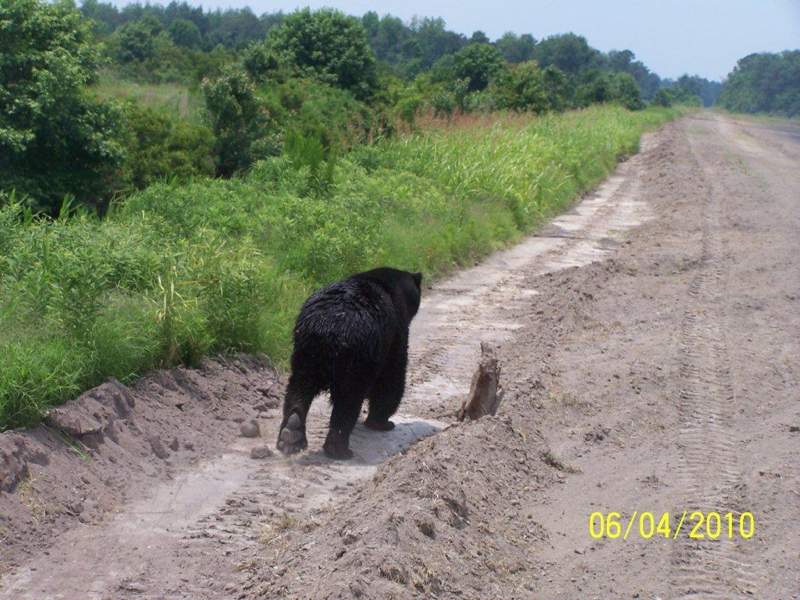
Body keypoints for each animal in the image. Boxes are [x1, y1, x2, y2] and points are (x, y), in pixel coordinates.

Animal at [276, 268, 422, 460]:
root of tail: (327, 327)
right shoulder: (395, 331)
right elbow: (391, 377)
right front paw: (383, 422)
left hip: (305, 351)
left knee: (298, 387)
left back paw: (291, 432)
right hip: (354, 357)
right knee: (348, 399)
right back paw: (339, 449)